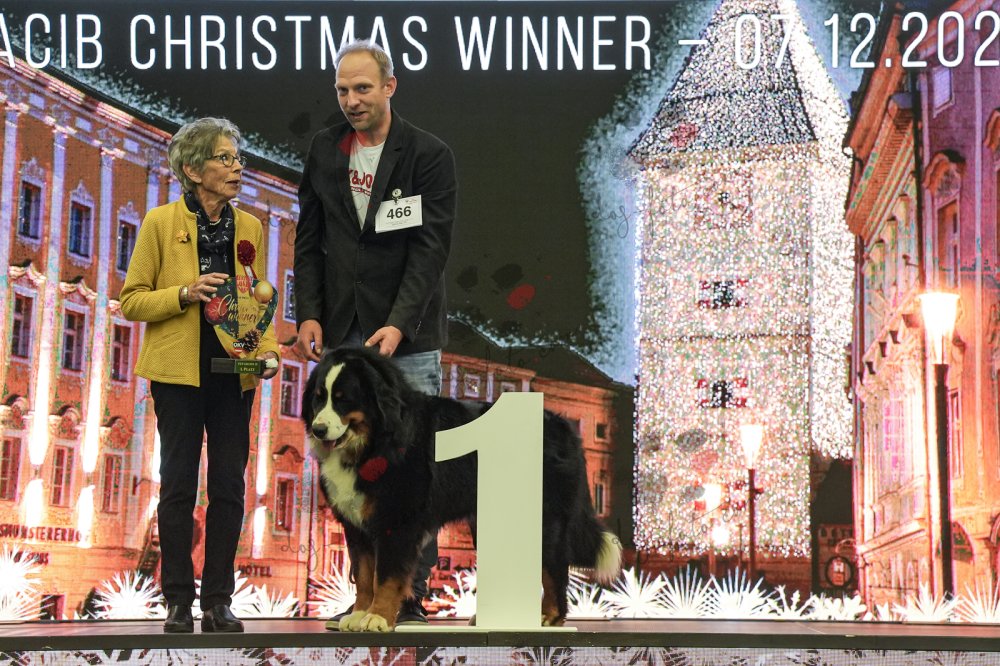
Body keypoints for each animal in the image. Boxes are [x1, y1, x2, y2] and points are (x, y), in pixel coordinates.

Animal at [302, 347, 621, 632]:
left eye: (343, 399)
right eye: (318, 398)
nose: (318, 429)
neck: (373, 442)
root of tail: (563, 426)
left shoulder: (397, 521)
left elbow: (386, 577)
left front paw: (377, 617)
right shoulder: (357, 525)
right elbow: (364, 575)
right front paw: (358, 615)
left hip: (544, 519)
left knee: (554, 569)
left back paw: (549, 617)